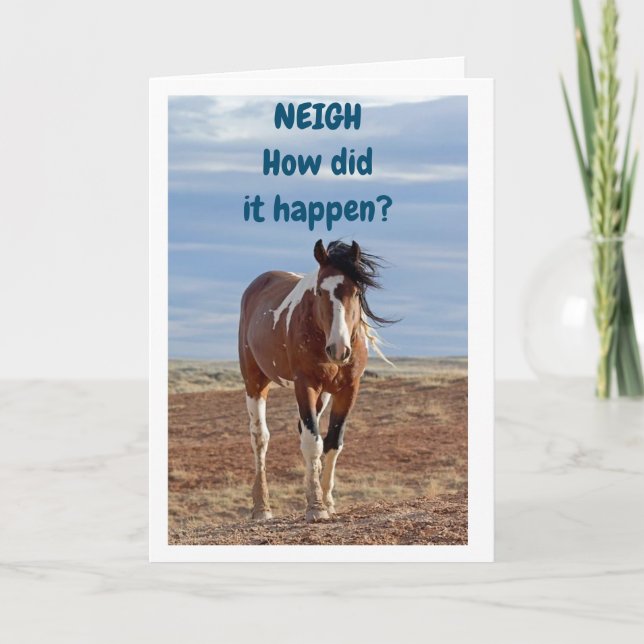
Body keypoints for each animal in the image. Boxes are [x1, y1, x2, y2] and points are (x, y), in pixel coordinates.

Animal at [238, 239, 394, 522]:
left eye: (357, 292)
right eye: (320, 292)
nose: (339, 350)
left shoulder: (348, 389)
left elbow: (332, 443)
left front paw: (327, 501)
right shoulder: (305, 385)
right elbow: (313, 443)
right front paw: (316, 507)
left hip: (324, 394)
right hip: (254, 382)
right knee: (260, 438)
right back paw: (261, 508)